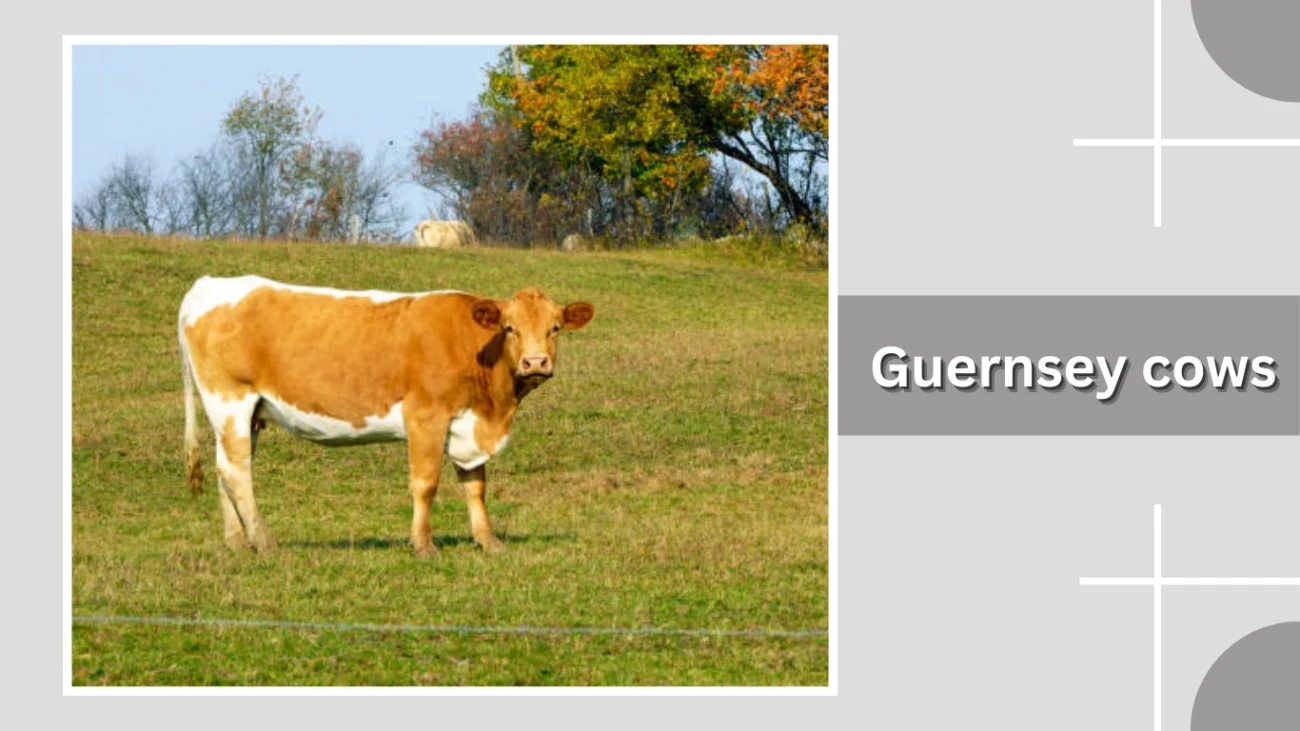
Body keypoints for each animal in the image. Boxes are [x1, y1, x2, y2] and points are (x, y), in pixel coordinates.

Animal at [177, 275, 595, 557]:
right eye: (510, 328)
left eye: (555, 328)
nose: (535, 362)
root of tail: (210, 284)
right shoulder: (426, 415)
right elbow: (425, 483)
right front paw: (423, 545)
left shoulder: (468, 424)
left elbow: (475, 485)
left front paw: (489, 541)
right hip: (229, 399)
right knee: (237, 471)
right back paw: (264, 542)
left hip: (243, 414)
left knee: (224, 469)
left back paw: (237, 541)